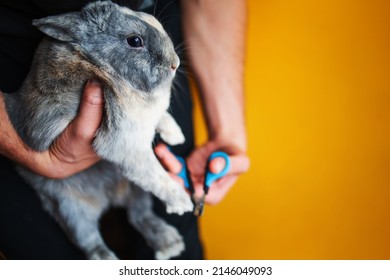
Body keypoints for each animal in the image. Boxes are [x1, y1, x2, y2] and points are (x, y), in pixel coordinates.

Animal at [1, 0, 193, 260]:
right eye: (135, 41)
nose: (175, 64)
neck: (103, 67)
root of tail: (109, 201)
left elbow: (161, 117)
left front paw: (175, 135)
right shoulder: (126, 144)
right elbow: (156, 176)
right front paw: (183, 202)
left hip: (134, 192)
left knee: (139, 215)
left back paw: (169, 243)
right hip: (71, 210)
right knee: (90, 241)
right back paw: (110, 258)